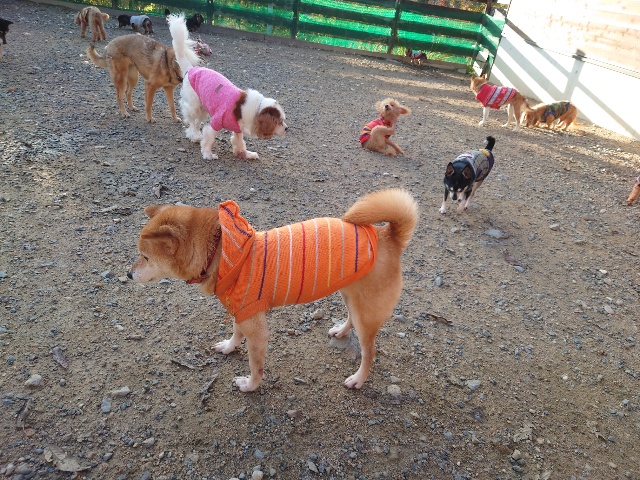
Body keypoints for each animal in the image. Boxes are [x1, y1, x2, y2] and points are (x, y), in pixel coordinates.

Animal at [128, 188, 419, 392]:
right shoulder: (241, 310)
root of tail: (388, 236)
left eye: (144, 257)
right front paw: (229, 347)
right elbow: (235, 333)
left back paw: (358, 379)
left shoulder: (256, 327)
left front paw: (250, 386)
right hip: (351, 296)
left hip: (366, 312)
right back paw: (341, 331)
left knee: (369, 352)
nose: (128, 274)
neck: (221, 253)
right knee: (351, 319)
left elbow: (256, 365)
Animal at [169, 14, 287, 160]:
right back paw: (194, 135)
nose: (287, 128)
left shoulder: (237, 129)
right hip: (194, 106)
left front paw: (245, 154)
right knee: (191, 121)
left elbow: (239, 141)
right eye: (279, 122)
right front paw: (208, 154)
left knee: (196, 122)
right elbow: (209, 138)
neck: (255, 110)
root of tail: (191, 69)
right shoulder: (215, 122)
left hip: (203, 109)